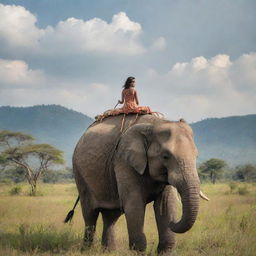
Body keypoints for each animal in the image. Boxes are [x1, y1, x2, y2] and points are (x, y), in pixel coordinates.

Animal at [71, 114, 202, 254]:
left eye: (196, 156)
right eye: (165, 156)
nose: (173, 222)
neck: (155, 124)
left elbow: (165, 204)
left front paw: (165, 252)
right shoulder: (124, 161)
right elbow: (134, 203)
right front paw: (138, 252)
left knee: (111, 216)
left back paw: (109, 252)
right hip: (79, 174)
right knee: (90, 214)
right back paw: (86, 251)